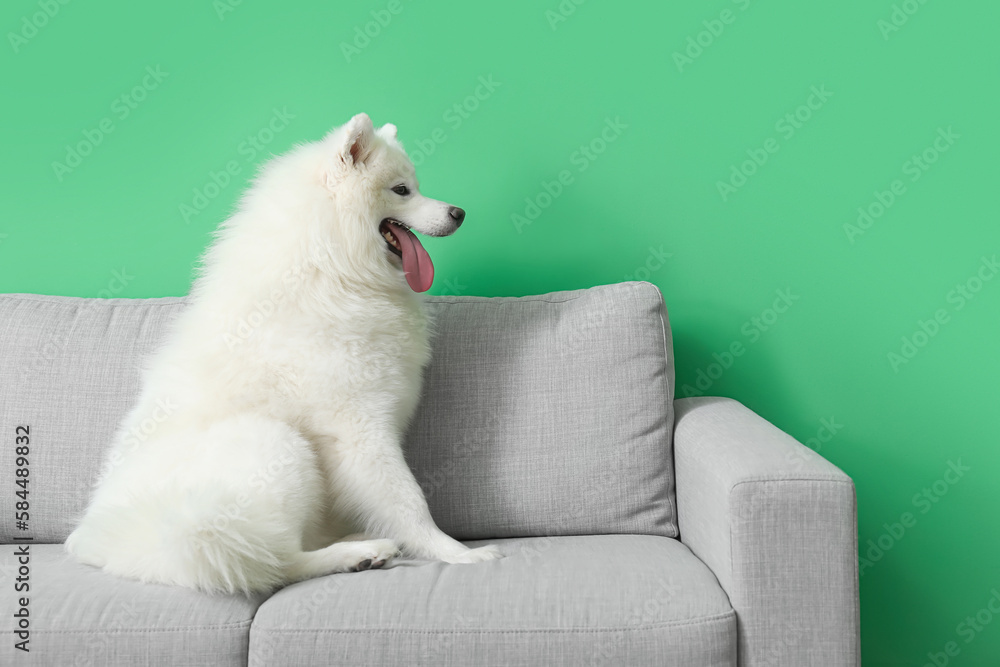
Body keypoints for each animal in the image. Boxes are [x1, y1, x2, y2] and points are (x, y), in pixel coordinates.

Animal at [64, 113, 500, 596]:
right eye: (402, 189)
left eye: (417, 186)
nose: (459, 213)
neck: (329, 268)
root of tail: (125, 544)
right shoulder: (359, 428)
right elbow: (409, 500)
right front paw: (458, 553)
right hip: (276, 445)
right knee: (277, 560)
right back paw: (359, 554)